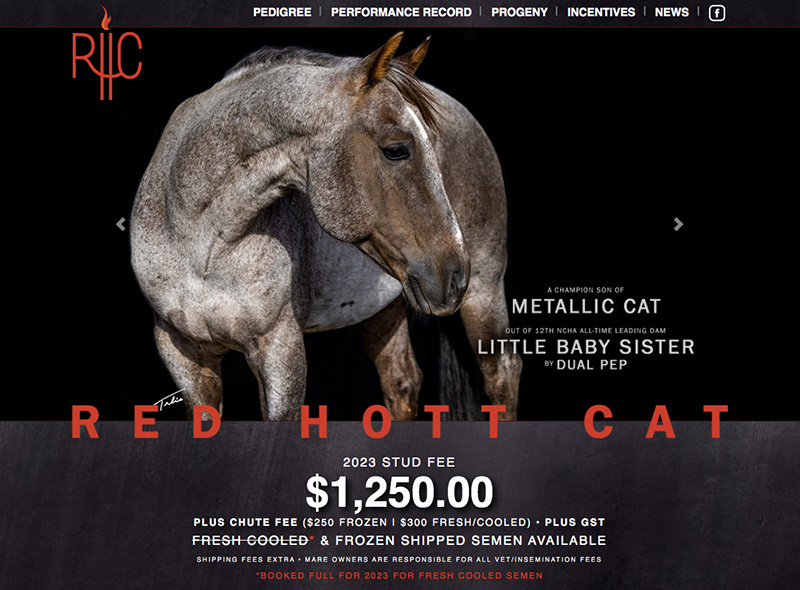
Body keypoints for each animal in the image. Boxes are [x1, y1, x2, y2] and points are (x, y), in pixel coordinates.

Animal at [130, 33, 522, 422]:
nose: (454, 275)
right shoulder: (184, 357)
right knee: (403, 383)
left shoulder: (280, 353)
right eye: (396, 149)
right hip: (388, 307)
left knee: (502, 376)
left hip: (484, 293)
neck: (202, 245)